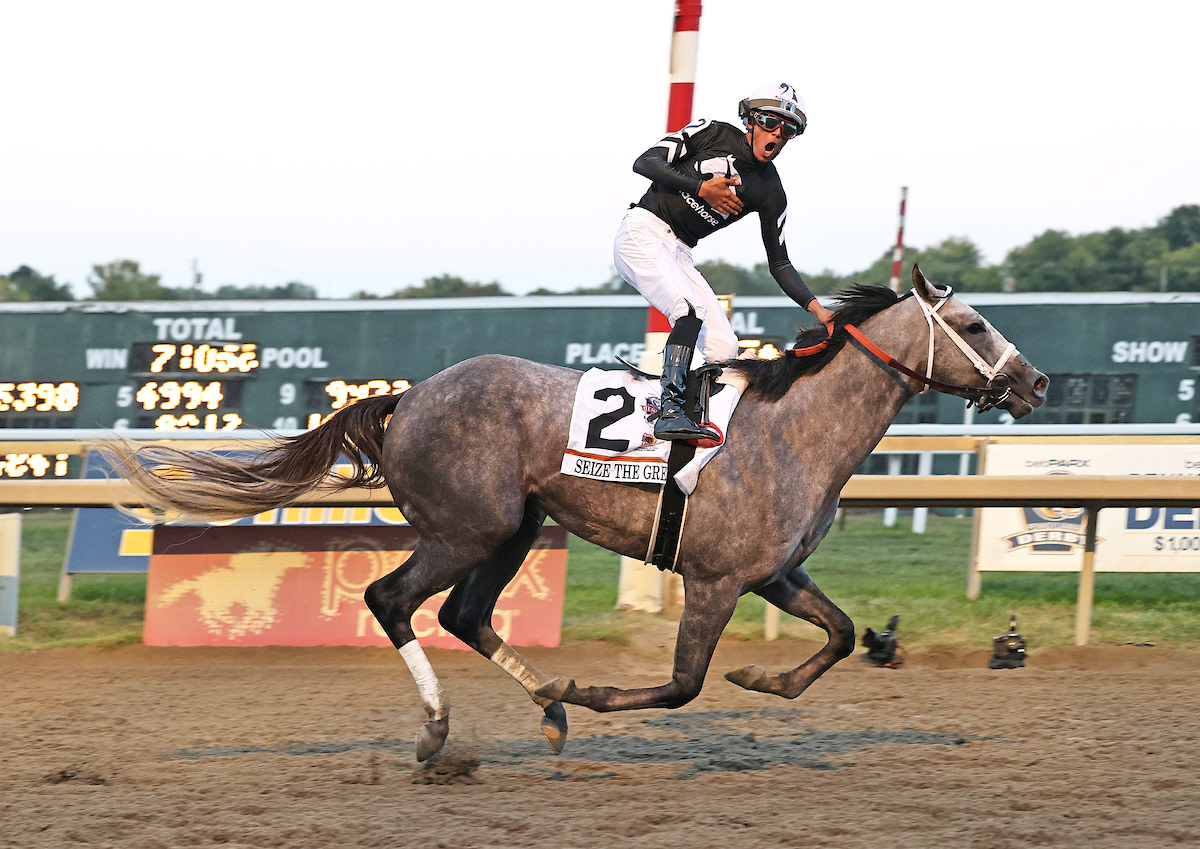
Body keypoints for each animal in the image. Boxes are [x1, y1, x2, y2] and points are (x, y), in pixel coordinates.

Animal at [98, 267, 1046, 762]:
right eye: (973, 322)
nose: (1035, 381)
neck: (791, 428)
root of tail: (407, 396)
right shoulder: (714, 580)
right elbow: (682, 682)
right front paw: (593, 690)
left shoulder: (774, 573)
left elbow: (843, 633)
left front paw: (763, 679)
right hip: (466, 528)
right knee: (391, 601)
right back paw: (442, 728)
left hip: (513, 527)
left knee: (464, 614)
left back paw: (544, 706)